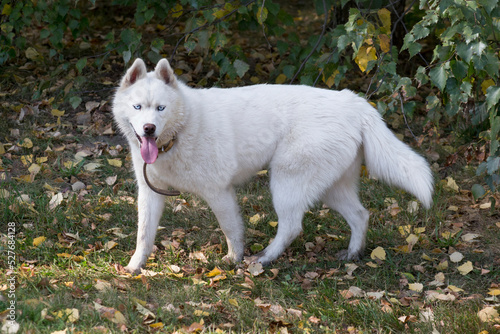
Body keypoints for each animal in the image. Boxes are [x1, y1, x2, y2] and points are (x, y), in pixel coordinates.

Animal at [113, 58, 434, 274]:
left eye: (161, 108)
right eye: (138, 107)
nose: (149, 129)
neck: (180, 131)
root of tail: (355, 102)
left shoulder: (219, 192)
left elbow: (231, 230)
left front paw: (233, 260)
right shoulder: (151, 194)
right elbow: (144, 234)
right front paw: (134, 266)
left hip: (285, 183)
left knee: (291, 227)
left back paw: (266, 258)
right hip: (331, 189)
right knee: (360, 215)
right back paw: (353, 254)